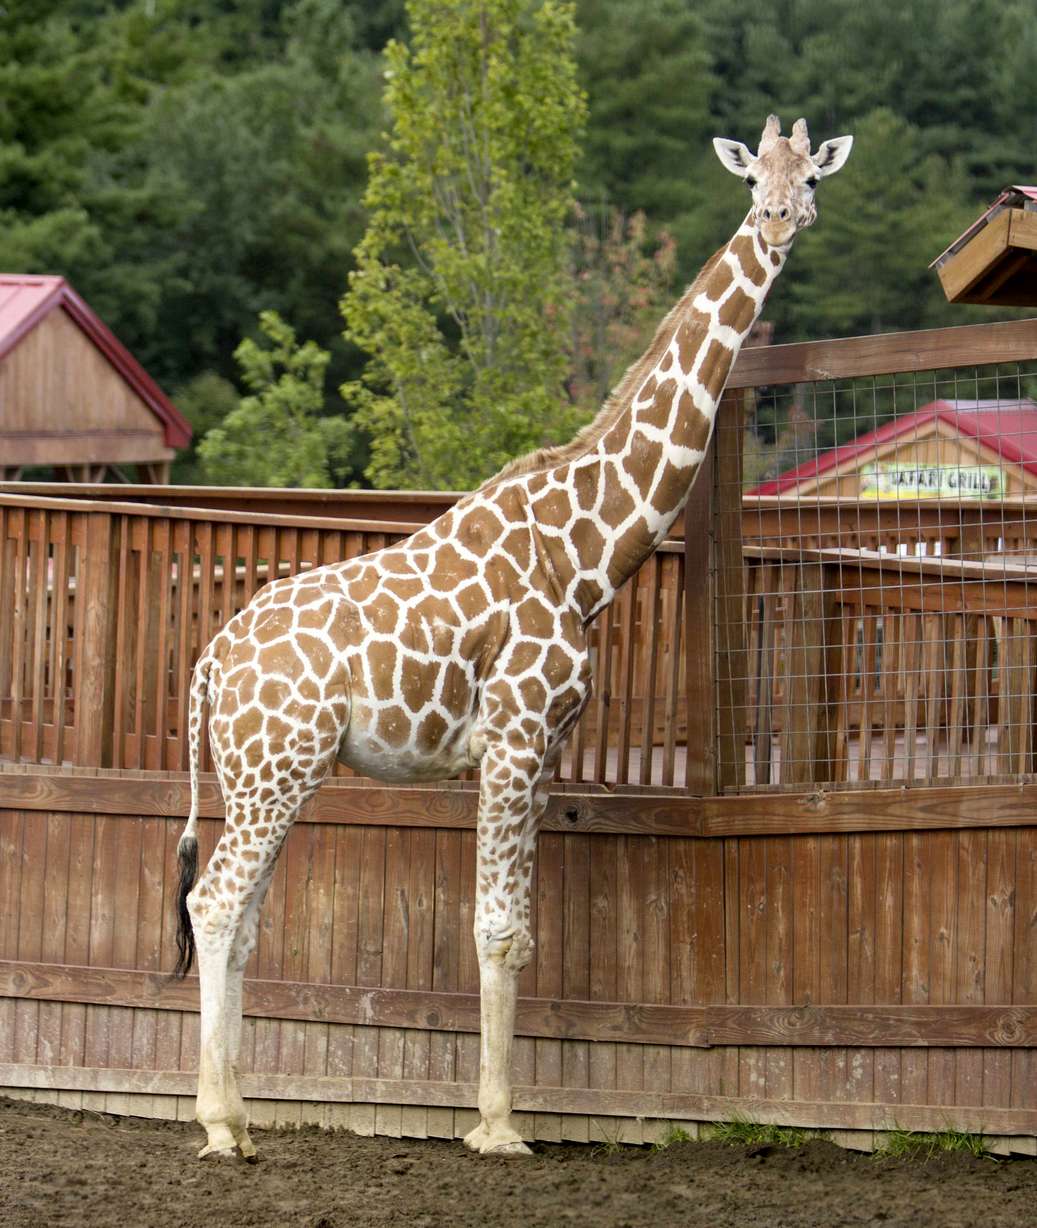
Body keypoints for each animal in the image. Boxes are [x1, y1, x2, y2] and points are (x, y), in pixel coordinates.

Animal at [173, 115, 852, 1161]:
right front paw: (494, 1128)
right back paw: (215, 1127)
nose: (779, 219)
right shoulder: (512, 735)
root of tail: (210, 665)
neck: (583, 549)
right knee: (212, 904)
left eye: (809, 176)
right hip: (272, 768)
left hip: (271, 773)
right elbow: (494, 929)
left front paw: (503, 1115)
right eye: (754, 181)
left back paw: (241, 1120)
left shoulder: (545, 747)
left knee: (239, 920)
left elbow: (522, 933)